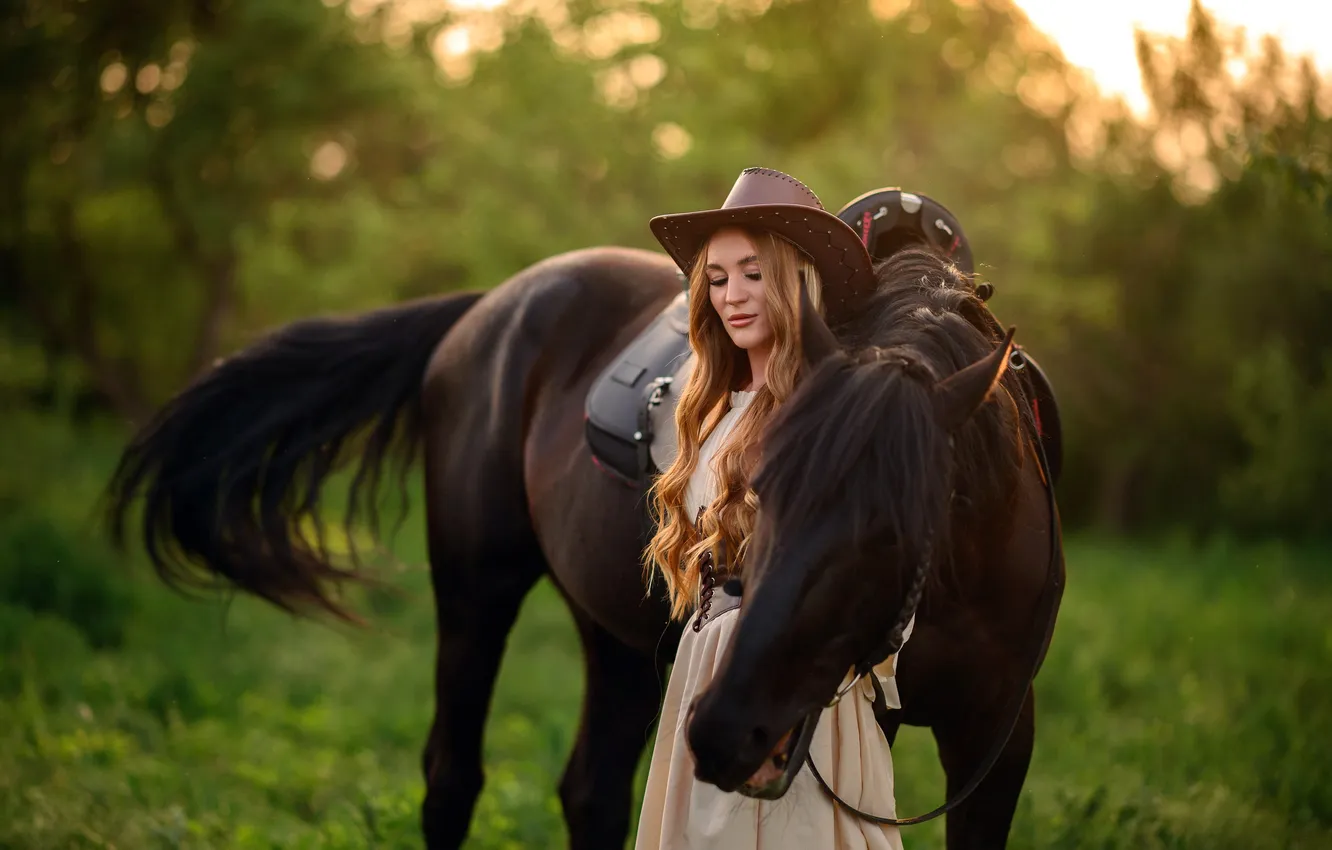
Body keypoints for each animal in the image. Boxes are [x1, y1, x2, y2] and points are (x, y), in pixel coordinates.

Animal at [106, 244, 1063, 850]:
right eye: (758, 496)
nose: (721, 729)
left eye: (892, 529)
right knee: (452, 777)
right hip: (477, 596)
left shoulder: (996, 737)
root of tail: (488, 307)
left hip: (622, 646)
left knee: (591, 794)